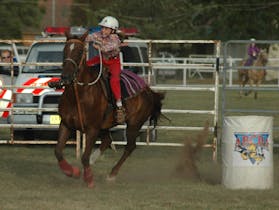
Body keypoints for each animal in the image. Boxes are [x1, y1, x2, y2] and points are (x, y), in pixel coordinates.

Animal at [53, 30, 165, 188]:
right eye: (65, 50)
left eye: (80, 51)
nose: (66, 76)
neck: (79, 95)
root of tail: (148, 91)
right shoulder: (66, 124)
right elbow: (58, 151)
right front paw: (72, 172)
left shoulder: (92, 129)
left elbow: (84, 156)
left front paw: (89, 179)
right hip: (105, 126)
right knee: (107, 141)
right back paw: (95, 161)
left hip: (134, 124)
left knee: (130, 147)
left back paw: (112, 174)